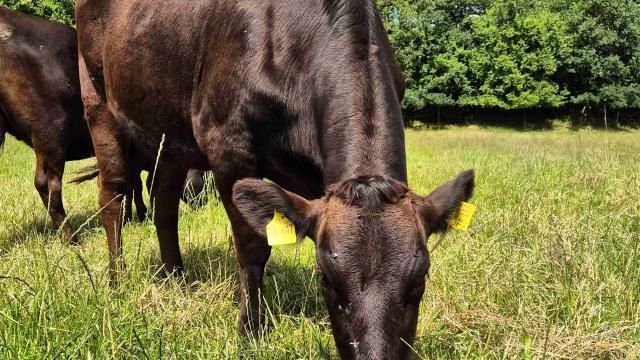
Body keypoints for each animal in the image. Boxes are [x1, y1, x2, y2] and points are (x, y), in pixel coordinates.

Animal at [0, 6, 208, 239]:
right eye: (205, 176)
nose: (210, 201)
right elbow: (139, 183)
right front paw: (139, 214)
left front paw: (135, 215)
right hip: (49, 131)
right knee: (48, 183)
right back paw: (70, 236)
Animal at [76, 1, 476, 358]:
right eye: (325, 277)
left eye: (420, 277)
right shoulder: (227, 144)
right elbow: (253, 246)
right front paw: (249, 332)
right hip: (97, 101)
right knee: (113, 198)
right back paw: (115, 281)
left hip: (171, 134)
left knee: (164, 202)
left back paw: (175, 277)